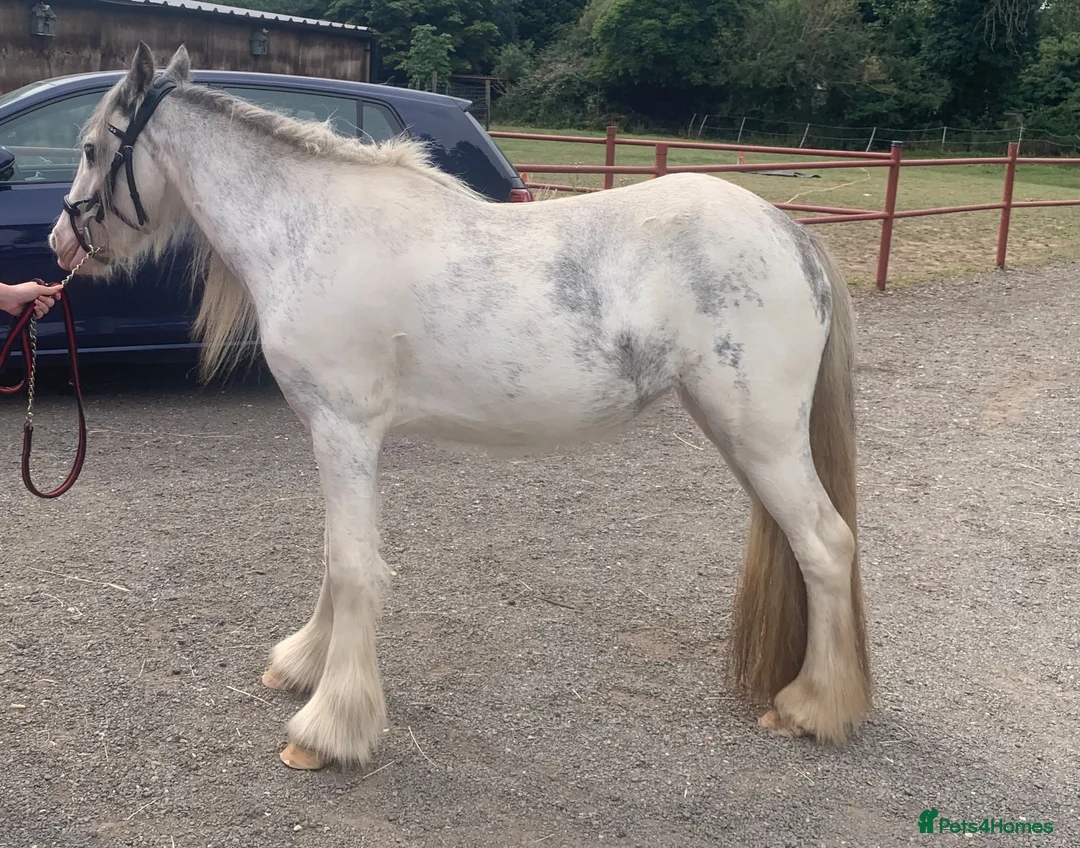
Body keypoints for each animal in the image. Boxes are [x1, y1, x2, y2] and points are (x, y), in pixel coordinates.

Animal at [50, 43, 872, 771]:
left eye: (89, 147)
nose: (60, 240)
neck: (310, 228)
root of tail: (790, 232)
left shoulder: (344, 431)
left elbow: (353, 566)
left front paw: (328, 728)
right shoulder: (334, 436)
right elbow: (335, 557)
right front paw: (302, 664)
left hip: (762, 433)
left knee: (826, 543)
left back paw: (814, 707)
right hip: (736, 431)